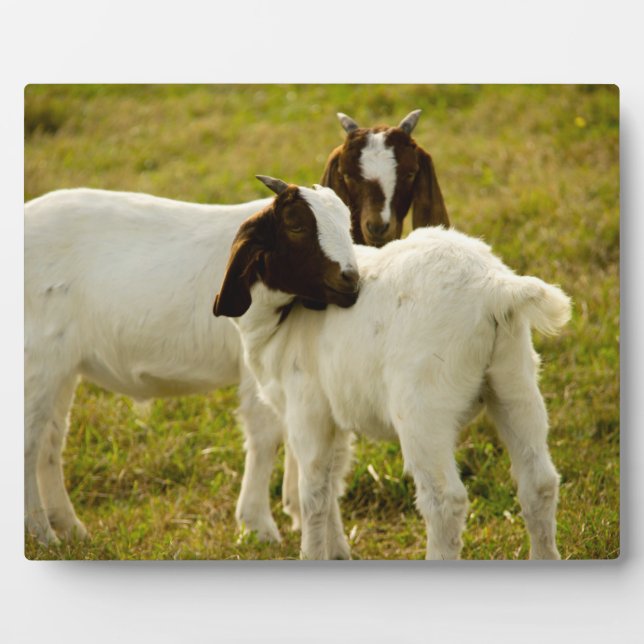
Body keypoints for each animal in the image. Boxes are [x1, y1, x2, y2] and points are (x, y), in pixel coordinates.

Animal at [24, 188, 293, 545]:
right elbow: (267, 435)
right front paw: (260, 528)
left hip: (61, 366)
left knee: (49, 442)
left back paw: (70, 529)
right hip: (36, 357)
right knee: (28, 443)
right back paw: (43, 535)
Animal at [214, 176, 572, 560]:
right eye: (296, 226)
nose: (350, 280)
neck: (279, 321)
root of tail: (494, 288)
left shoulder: (307, 411)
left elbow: (313, 494)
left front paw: (311, 553)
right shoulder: (334, 416)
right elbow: (332, 484)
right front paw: (338, 552)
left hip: (424, 408)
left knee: (445, 500)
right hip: (515, 381)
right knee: (539, 483)